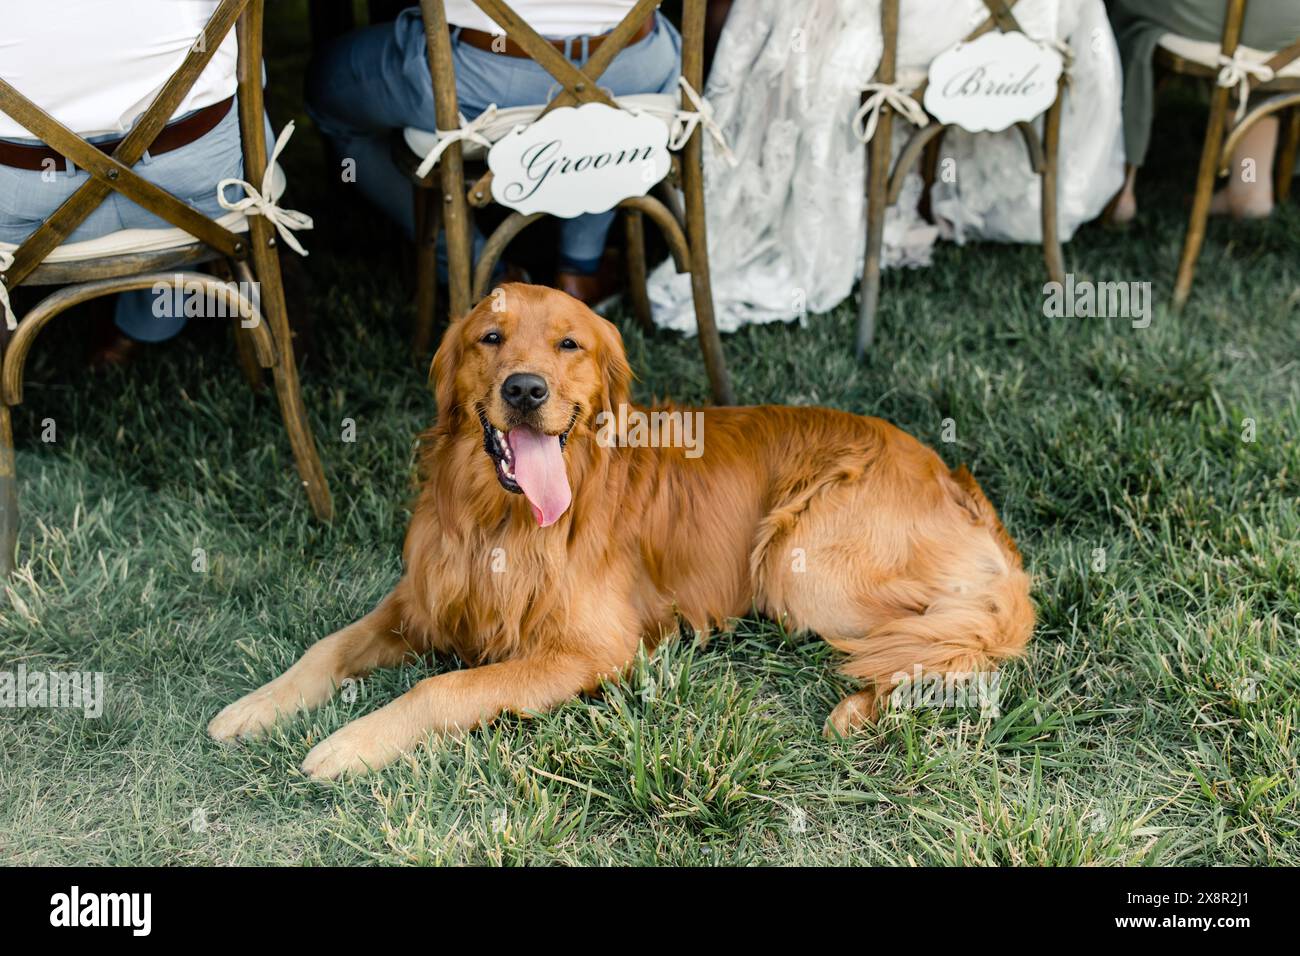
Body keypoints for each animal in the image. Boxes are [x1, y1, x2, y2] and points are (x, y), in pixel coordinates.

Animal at [208, 282, 1029, 780]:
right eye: (490, 337)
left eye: (569, 345)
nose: (525, 389)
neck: (499, 519)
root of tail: (948, 473)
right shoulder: (422, 600)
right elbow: (325, 648)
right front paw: (255, 708)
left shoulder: (590, 648)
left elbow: (445, 686)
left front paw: (352, 743)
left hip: (800, 566)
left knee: (959, 640)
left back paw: (862, 706)